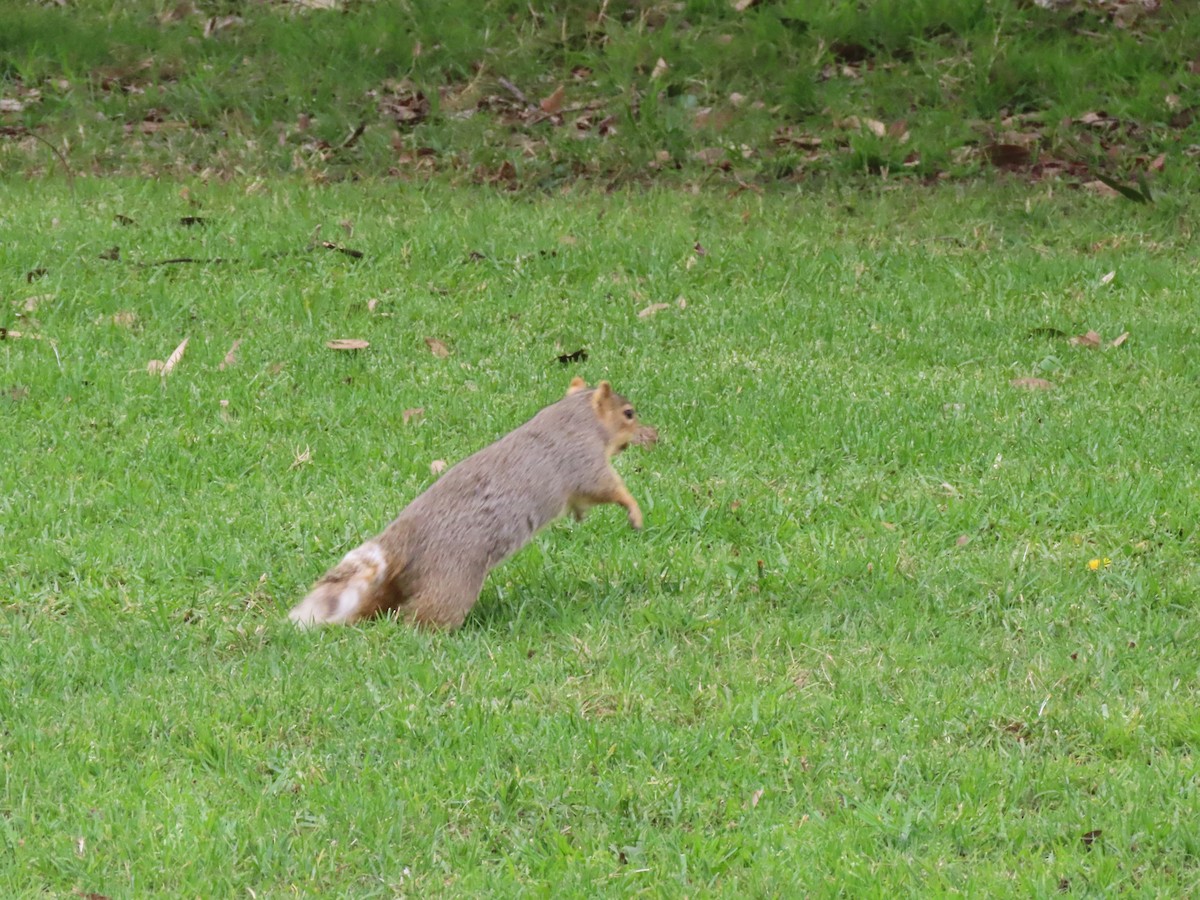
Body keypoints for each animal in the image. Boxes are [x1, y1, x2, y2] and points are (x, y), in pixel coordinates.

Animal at [288, 378, 654, 629]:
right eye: (628, 414)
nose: (649, 434)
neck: (576, 417)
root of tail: (400, 542)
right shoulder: (583, 460)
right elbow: (608, 488)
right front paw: (634, 510)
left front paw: (581, 515)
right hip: (451, 579)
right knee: (422, 615)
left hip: (400, 584)